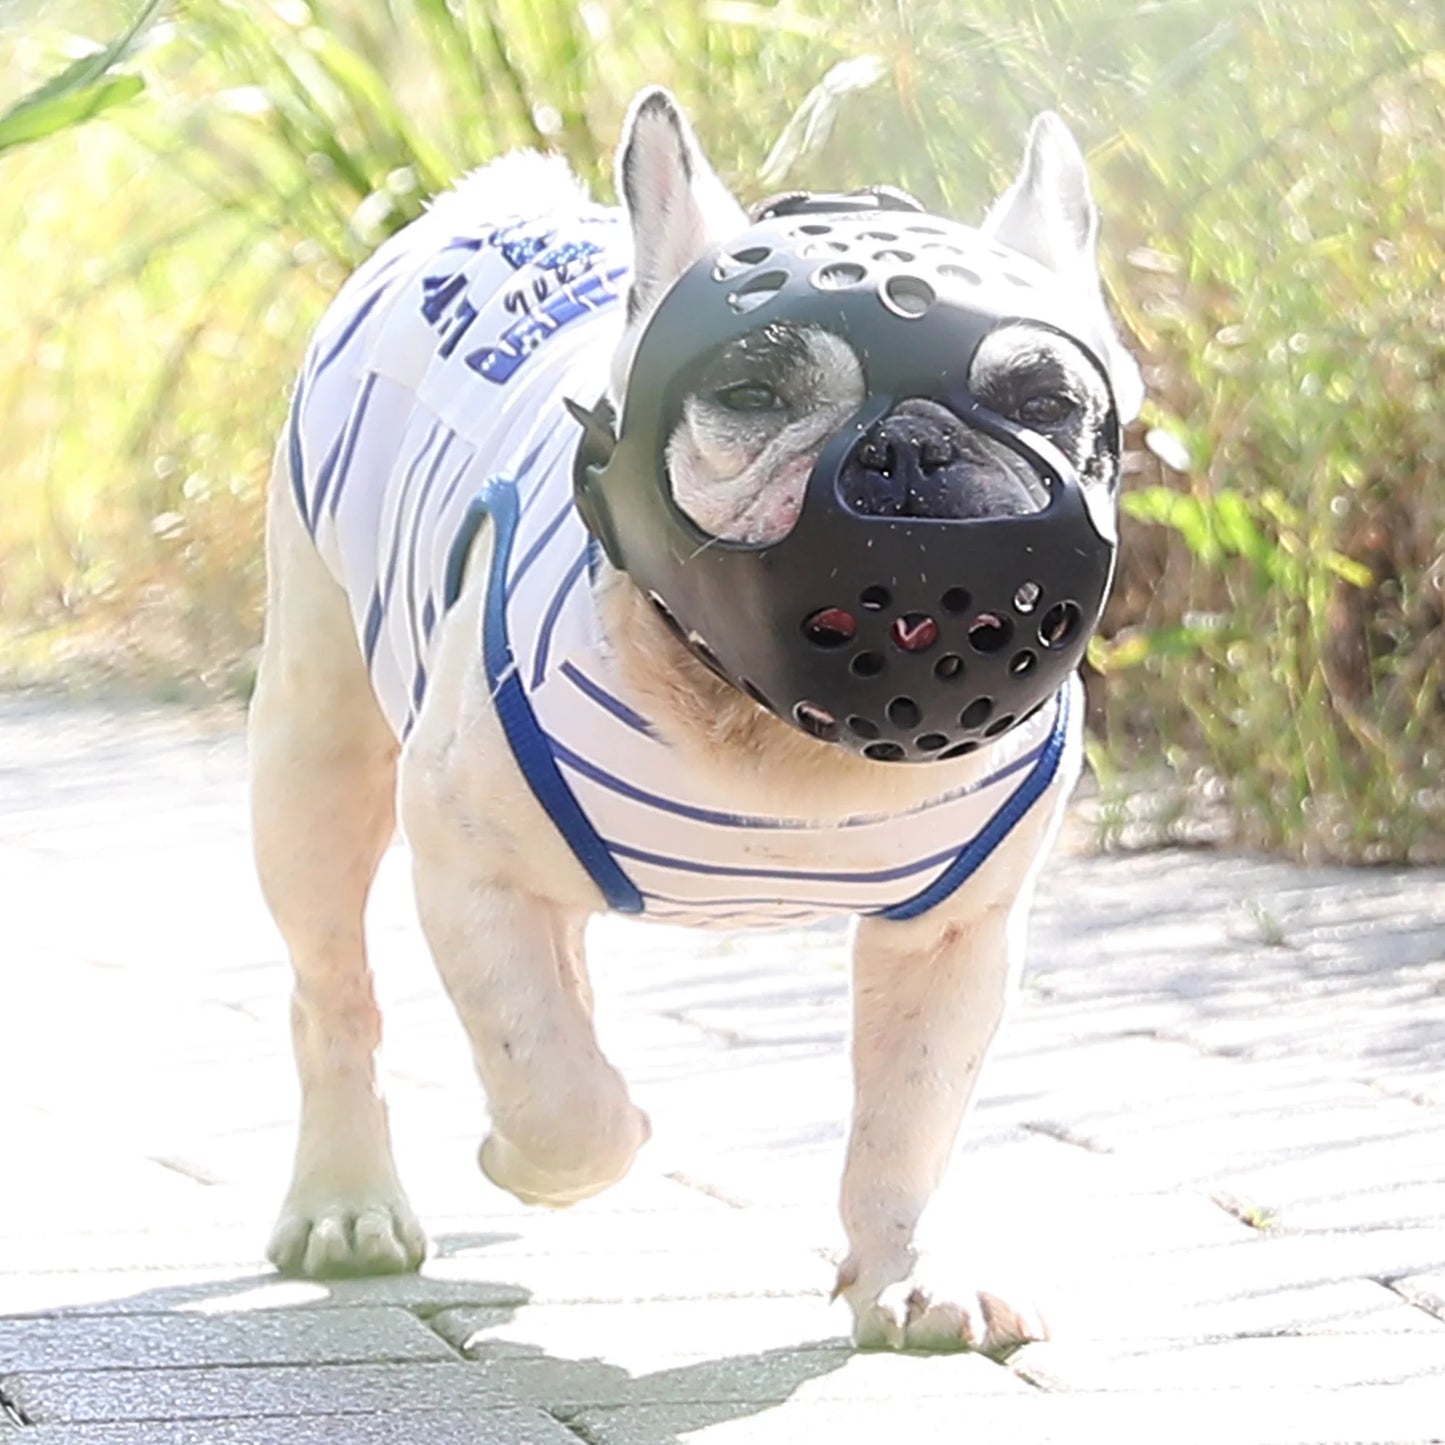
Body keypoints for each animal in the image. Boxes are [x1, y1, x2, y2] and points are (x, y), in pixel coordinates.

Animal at [254, 87, 1144, 1352]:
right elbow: (552, 1082)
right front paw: (534, 1158)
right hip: (313, 752)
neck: (776, 730)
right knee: (334, 989)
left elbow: (908, 1117)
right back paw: (344, 1200)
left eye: (1044, 403)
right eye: (753, 396)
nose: (911, 445)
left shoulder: (951, 938)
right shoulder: (468, 872)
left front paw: (903, 1271)